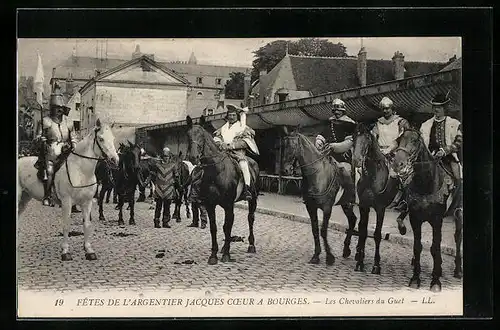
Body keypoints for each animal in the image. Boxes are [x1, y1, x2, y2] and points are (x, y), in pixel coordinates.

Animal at [17, 118, 119, 260]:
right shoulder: (67, 202)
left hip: (25, 198)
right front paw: (65, 251)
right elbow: (66, 225)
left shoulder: (87, 202)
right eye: (101, 138)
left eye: (113, 138)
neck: (81, 171)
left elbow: (87, 224)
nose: (115, 160)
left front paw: (89, 250)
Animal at [186, 114, 260, 264]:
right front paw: (214, 255)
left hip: (253, 200)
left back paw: (251, 245)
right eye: (188, 135)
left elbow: (227, 226)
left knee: (250, 218)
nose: (193, 157)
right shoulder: (210, 205)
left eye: (201, 135)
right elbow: (214, 228)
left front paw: (226, 254)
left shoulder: (228, 205)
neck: (217, 171)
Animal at [282, 126, 360, 266]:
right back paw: (346, 250)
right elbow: (315, 230)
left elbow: (323, 230)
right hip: (346, 204)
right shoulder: (311, 207)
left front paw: (329, 257)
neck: (317, 175)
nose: (286, 170)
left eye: (293, 145)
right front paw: (316, 255)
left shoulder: (327, 208)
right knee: (352, 220)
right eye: (283, 145)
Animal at [354, 122, 408, 274]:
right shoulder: (364, 206)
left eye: (367, 139)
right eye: (354, 138)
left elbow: (377, 234)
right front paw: (360, 262)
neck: (373, 176)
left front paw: (376, 265)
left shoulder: (380, 208)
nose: (357, 160)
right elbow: (363, 231)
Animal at [392, 129, 462, 292]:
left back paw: (457, 270)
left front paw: (435, 282)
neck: (426, 184)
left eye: (415, 141)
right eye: (400, 139)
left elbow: (435, 247)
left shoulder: (437, 220)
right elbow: (418, 247)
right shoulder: (415, 219)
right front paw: (415, 278)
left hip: (459, 214)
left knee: (457, 237)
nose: (398, 163)